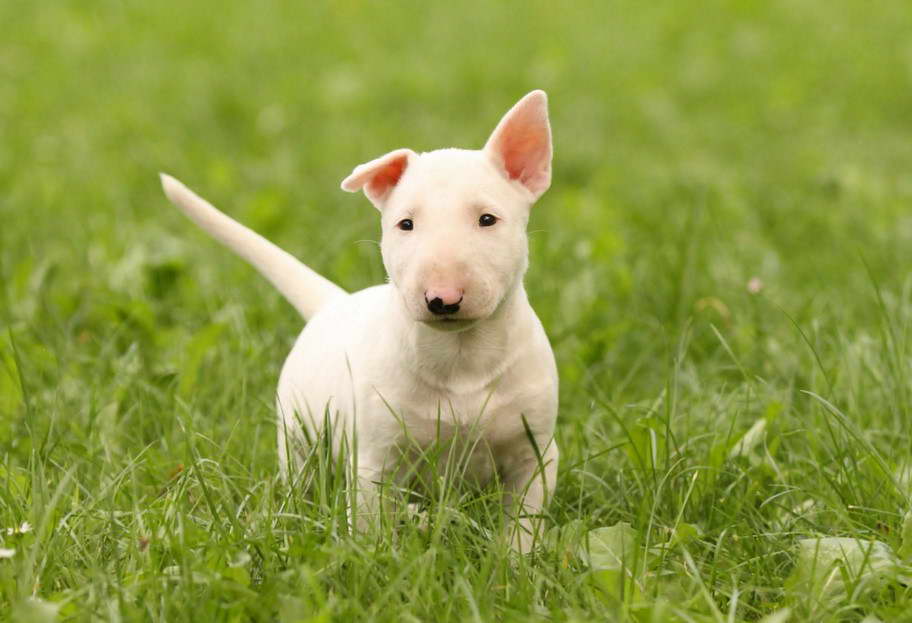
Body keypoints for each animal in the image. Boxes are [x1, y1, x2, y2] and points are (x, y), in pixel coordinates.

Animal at [161, 89, 560, 552]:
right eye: (405, 224)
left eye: (487, 219)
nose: (442, 299)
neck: (462, 355)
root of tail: (332, 303)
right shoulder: (375, 459)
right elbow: (370, 524)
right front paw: (374, 559)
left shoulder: (535, 453)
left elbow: (524, 521)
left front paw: (517, 561)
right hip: (297, 436)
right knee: (302, 480)